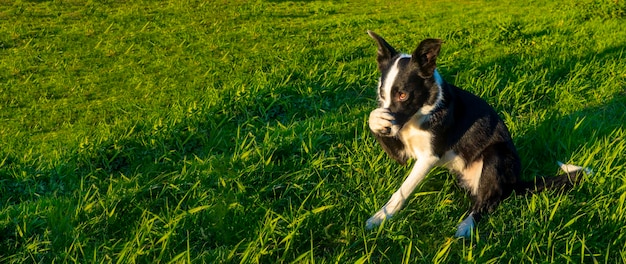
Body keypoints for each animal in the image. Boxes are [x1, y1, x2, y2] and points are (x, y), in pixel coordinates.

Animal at [364, 30, 588, 237]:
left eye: (403, 95)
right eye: (381, 94)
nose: (388, 130)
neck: (419, 114)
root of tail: (514, 183)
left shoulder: (428, 157)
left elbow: (403, 190)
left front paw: (381, 216)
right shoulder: (402, 152)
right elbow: (373, 118)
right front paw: (378, 119)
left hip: (496, 155)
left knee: (487, 203)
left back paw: (466, 226)